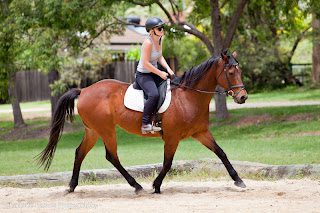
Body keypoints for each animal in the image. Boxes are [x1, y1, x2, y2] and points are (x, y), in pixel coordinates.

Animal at [37, 50, 248, 194]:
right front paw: (156, 185)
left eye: (240, 70)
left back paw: (72, 186)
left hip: (93, 130)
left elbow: (221, 153)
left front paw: (238, 180)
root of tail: (84, 90)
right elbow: (167, 163)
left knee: (80, 152)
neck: (188, 97)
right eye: (230, 72)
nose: (243, 97)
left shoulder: (201, 133)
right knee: (111, 156)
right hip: (106, 130)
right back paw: (136, 186)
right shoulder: (172, 137)